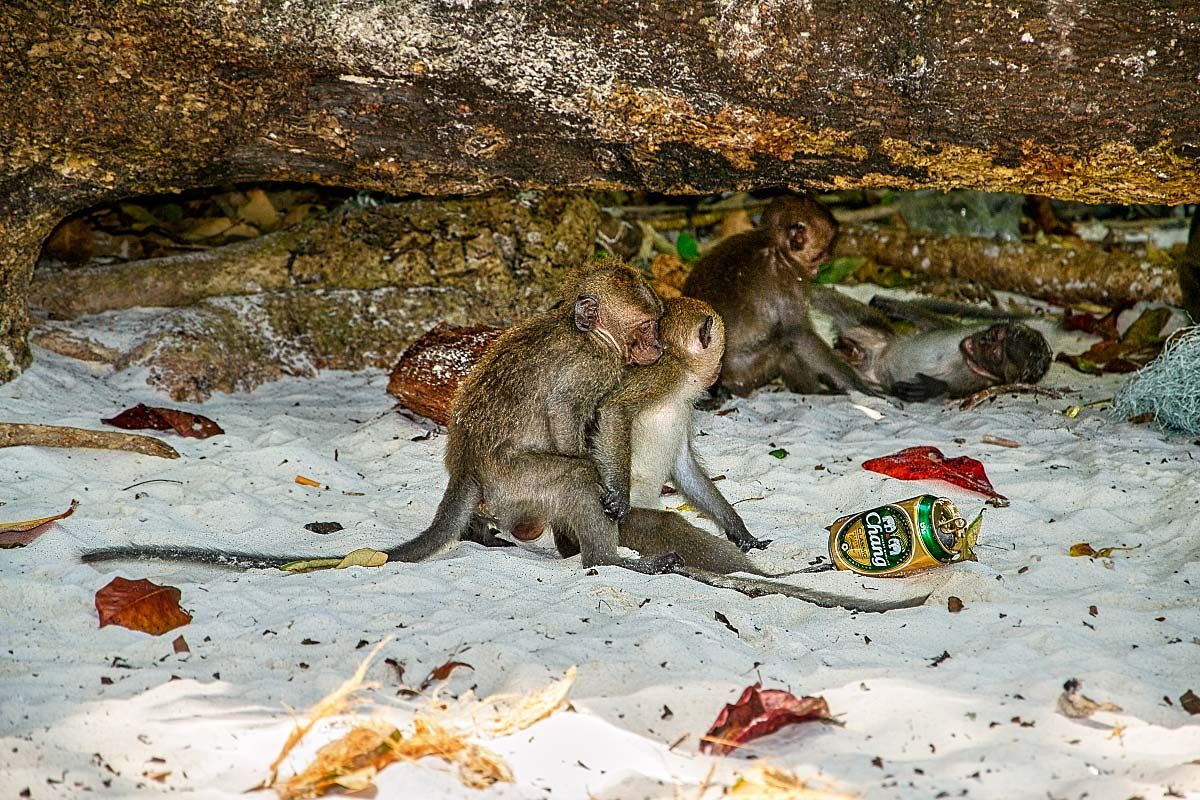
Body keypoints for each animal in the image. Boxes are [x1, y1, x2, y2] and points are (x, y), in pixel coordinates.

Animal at [82, 258, 679, 574]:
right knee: (569, 474)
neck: (589, 334)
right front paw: (608, 492)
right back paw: (610, 560)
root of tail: (466, 469)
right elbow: (566, 417)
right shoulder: (591, 366)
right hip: (515, 481)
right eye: (648, 326)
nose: (655, 346)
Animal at [682, 193, 870, 396]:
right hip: (747, 373)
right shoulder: (788, 282)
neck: (775, 247)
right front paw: (857, 383)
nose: (818, 270)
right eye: (819, 256)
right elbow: (798, 334)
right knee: (784, 346)